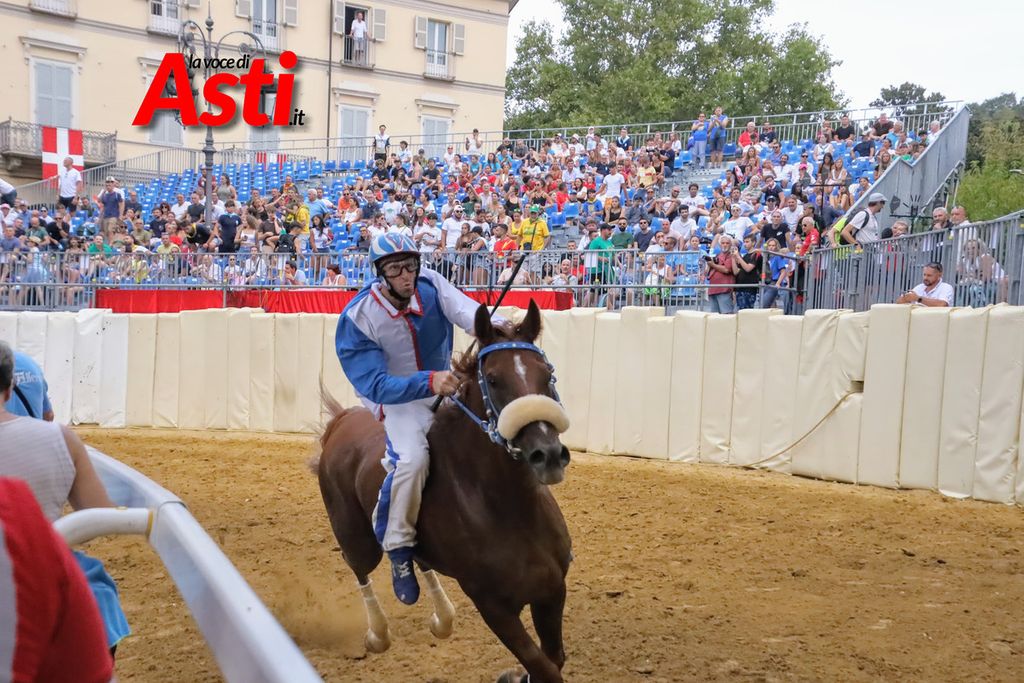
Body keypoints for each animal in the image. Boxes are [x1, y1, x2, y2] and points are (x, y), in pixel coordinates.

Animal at [314, 300, 574, 683]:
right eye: (493, 379)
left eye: (547, 374)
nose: (549, 454)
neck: (508, 509)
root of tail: (341, 422)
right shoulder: (493, 605)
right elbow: (542, 667)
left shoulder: (551, 590)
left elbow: (552, 660)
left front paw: (515, 675)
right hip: (356, 537)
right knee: (358, 565)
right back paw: (378, 634)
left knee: (418, 559)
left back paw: (442, 618)